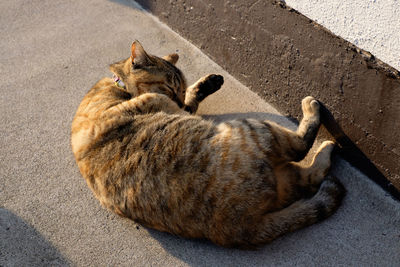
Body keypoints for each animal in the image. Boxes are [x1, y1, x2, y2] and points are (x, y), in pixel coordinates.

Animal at [70, 40, 346, 249]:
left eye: (180, 89)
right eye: (169, 87)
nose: (178, 101)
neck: (118, 84)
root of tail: (245, 227)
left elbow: (193, 99)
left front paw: (207, 84)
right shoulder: (155, 100)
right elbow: (180, 105)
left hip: (283, 176)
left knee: (312, 178)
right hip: (255, 129)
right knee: (301, 147)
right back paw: (319, 123)